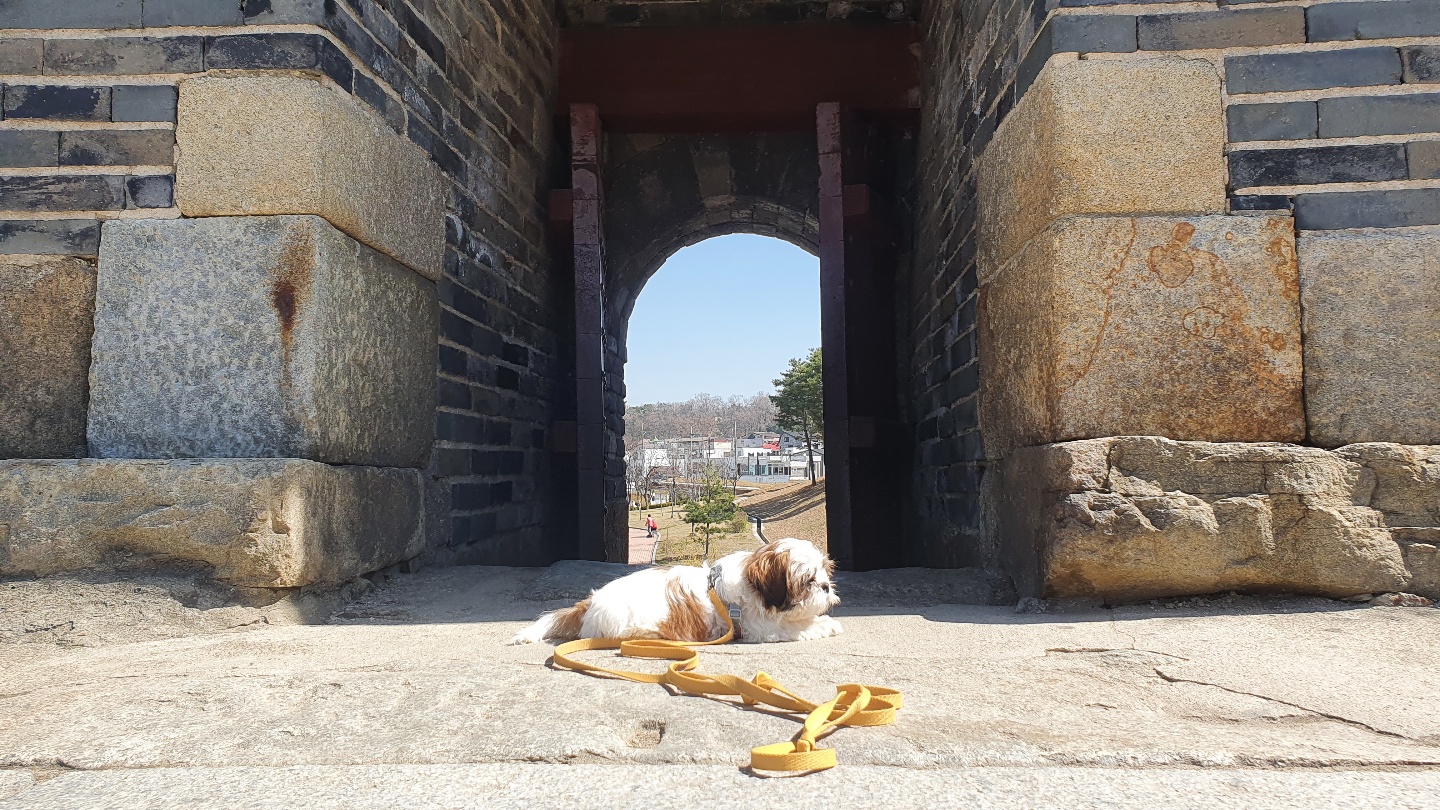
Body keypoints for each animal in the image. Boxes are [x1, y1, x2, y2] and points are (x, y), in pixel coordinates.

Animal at [512, 536, 840, 642]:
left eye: (825, 572)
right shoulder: (762, 627)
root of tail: (589, 604)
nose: (825, 586)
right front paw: (825, 624)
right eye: (807, 581)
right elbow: (795, 627)